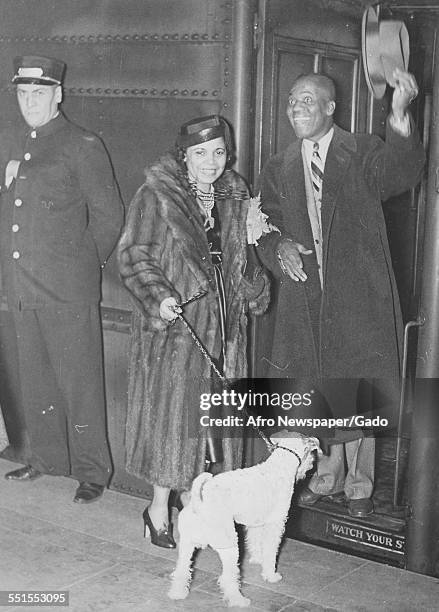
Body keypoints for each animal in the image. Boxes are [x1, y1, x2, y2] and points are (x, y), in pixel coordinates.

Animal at [168, 430, 320, 608]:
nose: (310, 466)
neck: (280, 465)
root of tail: (199, 504)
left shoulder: (255, 524)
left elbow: (256, 543)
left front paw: (257, 559)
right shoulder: (275, 524)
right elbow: (271, 552)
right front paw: (271, 575)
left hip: (187, 545)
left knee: (181, 570)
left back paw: (177, 594)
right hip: (230, 546)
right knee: (228, 578)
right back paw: (239, 600)